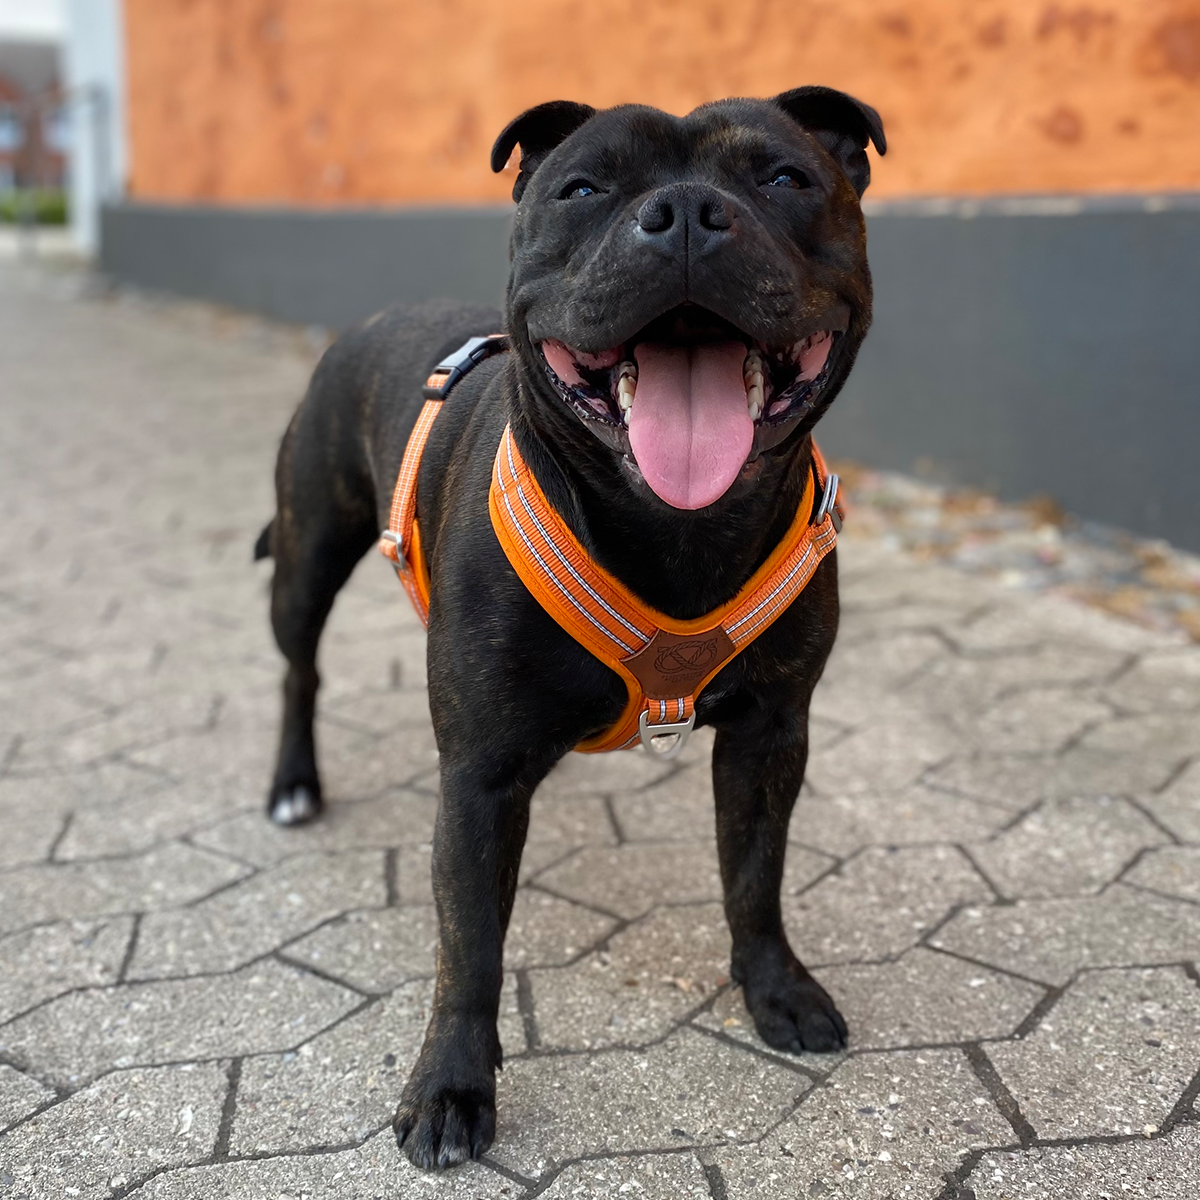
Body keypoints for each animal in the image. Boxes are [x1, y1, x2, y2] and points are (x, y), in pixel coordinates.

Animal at [258, 87, 888, 1171]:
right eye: (584, 188)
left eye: (784, 177)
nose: (686, 214)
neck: (676, 531)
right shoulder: (478, 778)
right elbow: (468, 943)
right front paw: (450, 1088)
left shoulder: (772, 734)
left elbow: (754, 875)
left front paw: (775, 989)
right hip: (306, 559)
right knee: (301, 670)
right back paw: (294, 784)